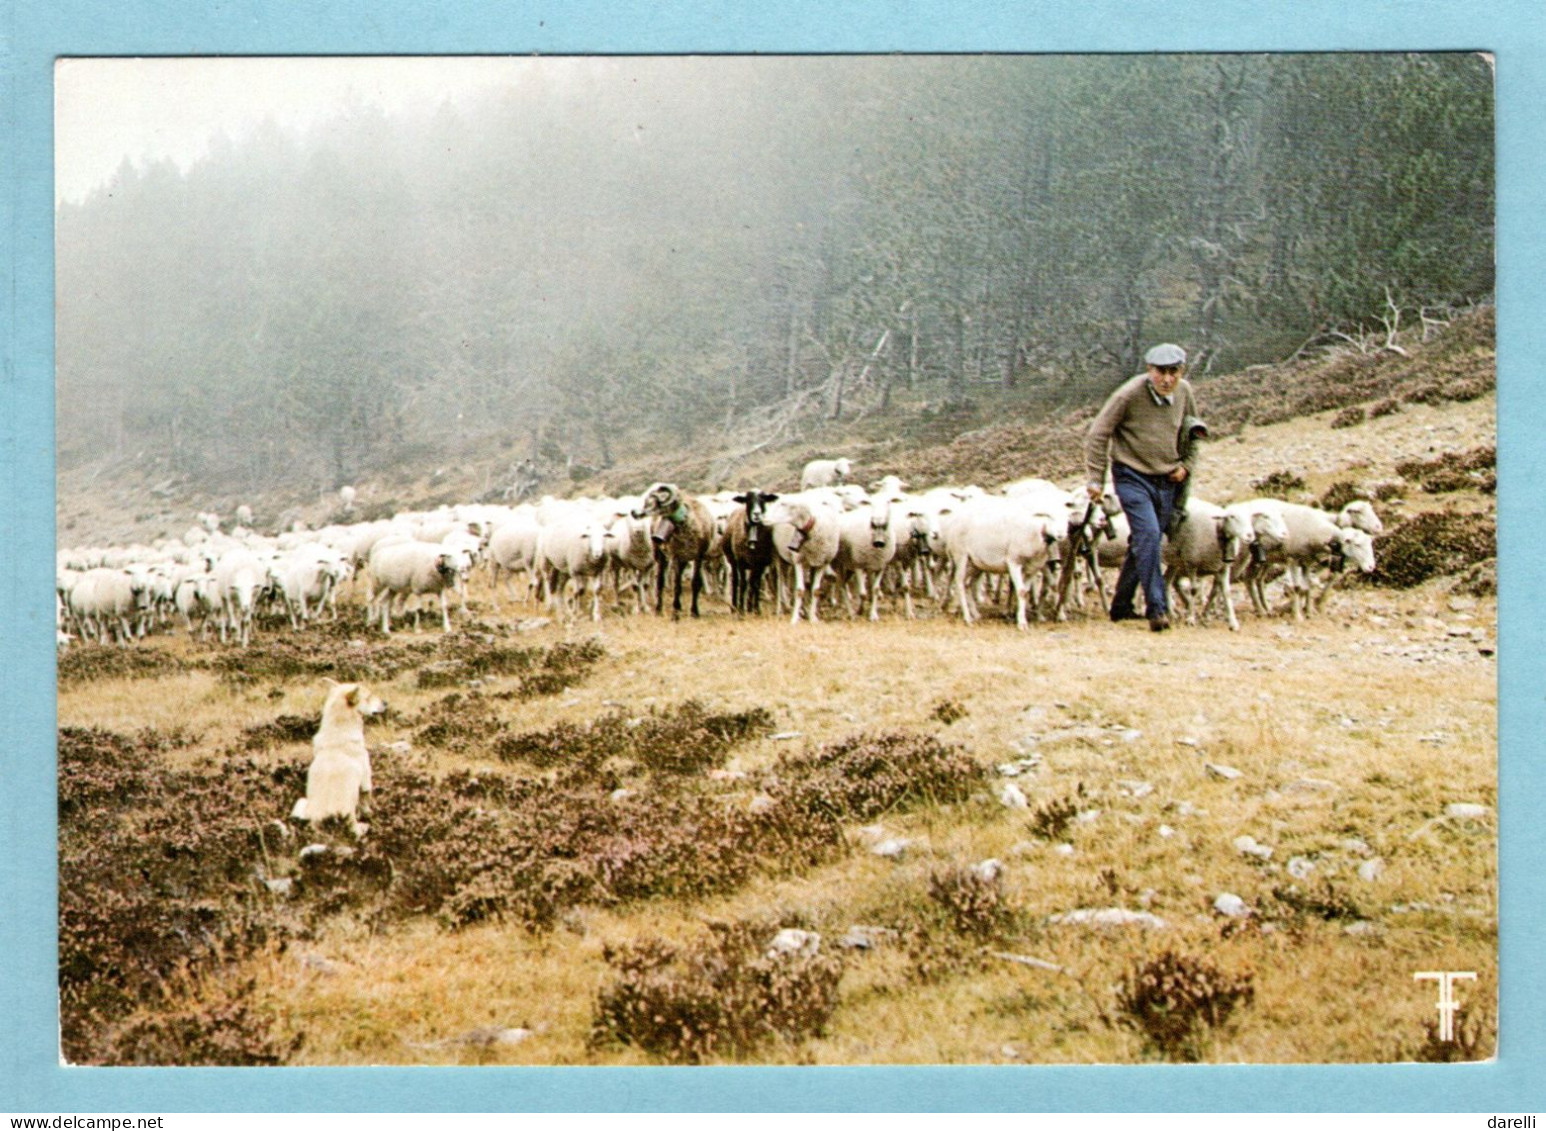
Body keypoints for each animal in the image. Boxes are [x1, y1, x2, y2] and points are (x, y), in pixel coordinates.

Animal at [290, 679, 386, 828]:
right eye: (368, 697)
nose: (385, 703)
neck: (338, 729)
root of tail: (317, 819)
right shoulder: (365, 778)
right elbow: (366, 797)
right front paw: (369, 813)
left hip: (301, 802)